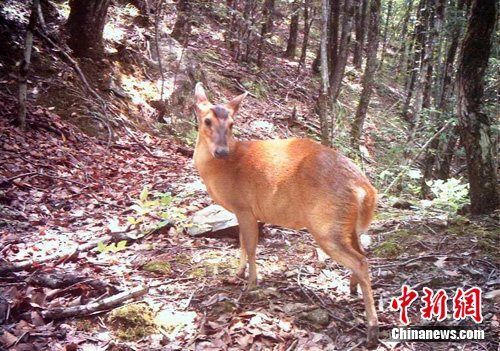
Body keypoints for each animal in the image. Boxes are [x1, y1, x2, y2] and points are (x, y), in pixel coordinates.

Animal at [191, 83, 378, 350]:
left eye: (232, 124)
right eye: (207, 120)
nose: (222, 151)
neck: (219, 170)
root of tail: (365, 190)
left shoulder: (244, 206)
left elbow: (250, 246)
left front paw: (251, 284)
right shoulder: (242, 210)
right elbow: (241, 243)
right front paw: (236, 274)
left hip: (326, 226)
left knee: (361, 262)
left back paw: (372, 329)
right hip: (347, 226)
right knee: (363, 254)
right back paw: (352, 290)